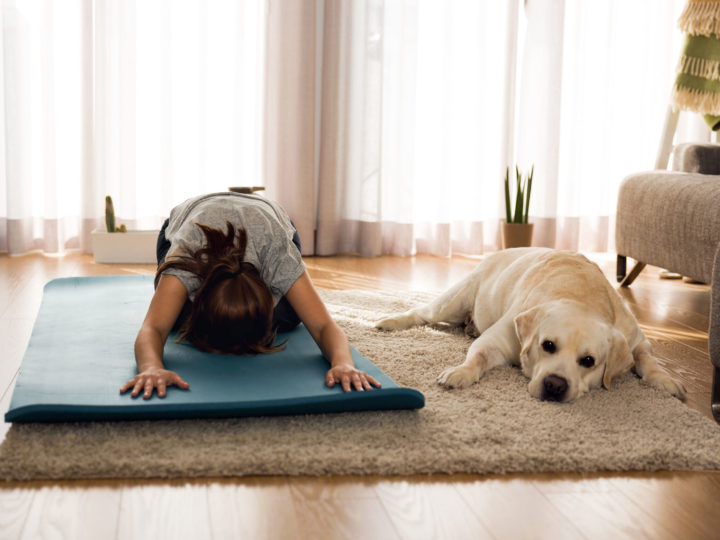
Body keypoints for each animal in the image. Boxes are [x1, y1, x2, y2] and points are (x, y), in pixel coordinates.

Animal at [376, 248, 688, 400]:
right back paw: (389, 321)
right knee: (422, 312)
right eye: (547, 345)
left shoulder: (636, 338)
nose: (554, 386)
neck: (581, 297)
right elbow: (477, 356)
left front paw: (665, 380)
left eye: (588, 361)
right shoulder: (498, 339)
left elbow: (647, 359)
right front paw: (460, 372)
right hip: (454, 301)